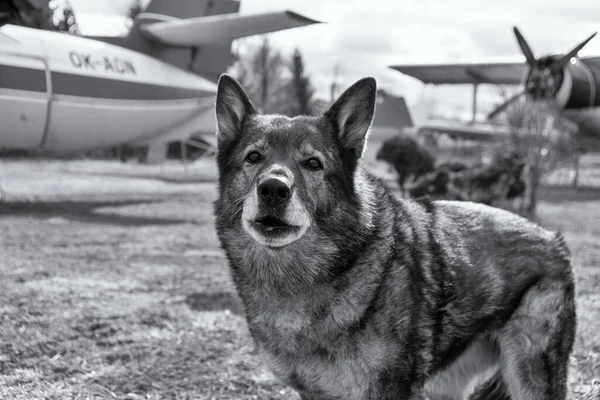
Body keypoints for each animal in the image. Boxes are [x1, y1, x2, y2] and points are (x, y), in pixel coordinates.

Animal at [211, 73, 576, 398]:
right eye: (254, 157)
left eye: (313, 163)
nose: (273, 189)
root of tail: (553, 239)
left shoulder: (391, 389)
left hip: (529, 375)